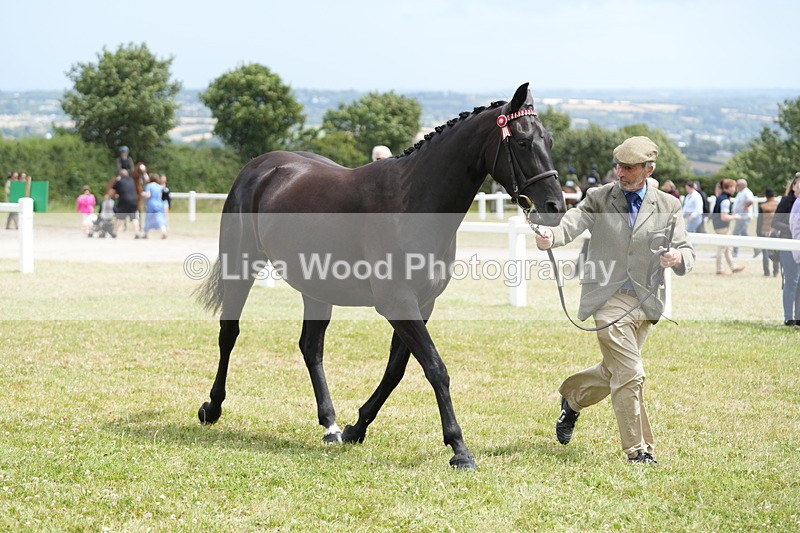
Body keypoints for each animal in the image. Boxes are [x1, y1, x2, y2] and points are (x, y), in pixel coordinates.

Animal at [196, 83, 566, 469]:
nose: (555, 207)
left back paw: (330, 425)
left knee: (311, 347)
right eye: (522, 141)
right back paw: (212, 407)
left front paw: (356, 428)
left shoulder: (421, 304)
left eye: (549, 140)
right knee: (229, 333)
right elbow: (435, 367)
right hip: (241, 265)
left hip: (316, 289)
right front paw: (459, 449)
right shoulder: (398, 303)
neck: (412, 202)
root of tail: (260, 167)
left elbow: (396, 371)